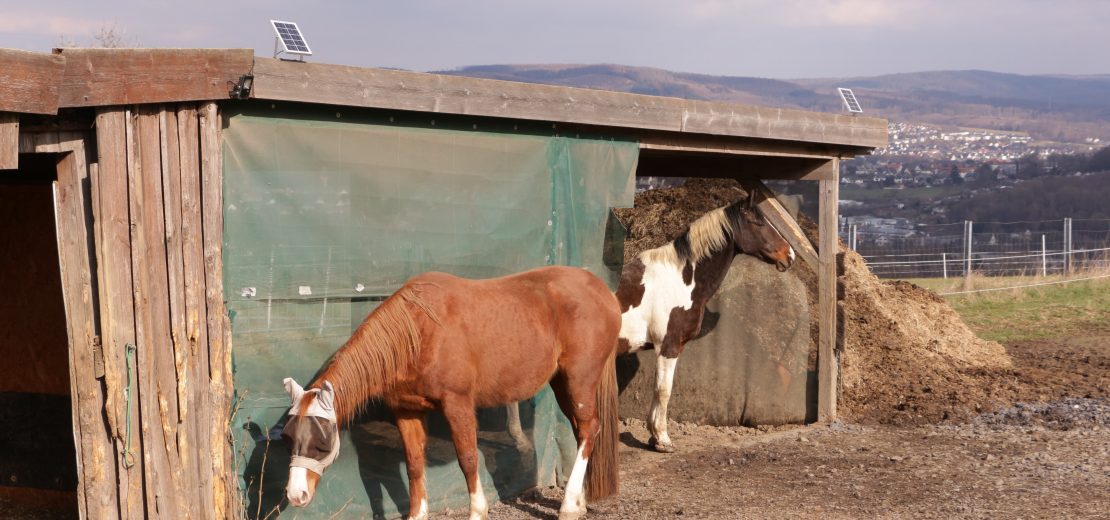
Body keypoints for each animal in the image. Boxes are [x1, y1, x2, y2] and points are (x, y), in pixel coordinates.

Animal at [281, 265, 621, 520]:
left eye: (323, 441)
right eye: (288, 437)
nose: (296, 495)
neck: (417, 333)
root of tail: (603, 290)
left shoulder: (457, 404)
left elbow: (468, 458)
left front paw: (478, 511)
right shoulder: (406, 411)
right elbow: (414, 464)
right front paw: (417, 513)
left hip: (579, 379)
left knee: (588, 429)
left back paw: (568, 507)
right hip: (561, 383)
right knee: (582, 432)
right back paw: (578, 503)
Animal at [616, 190, 796, 452]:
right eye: (758, 222)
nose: (789, 255)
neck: (681, 279)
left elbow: (658, 390)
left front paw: (654, 436)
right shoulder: (668, 347)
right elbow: (664, 390)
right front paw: (663, 439)